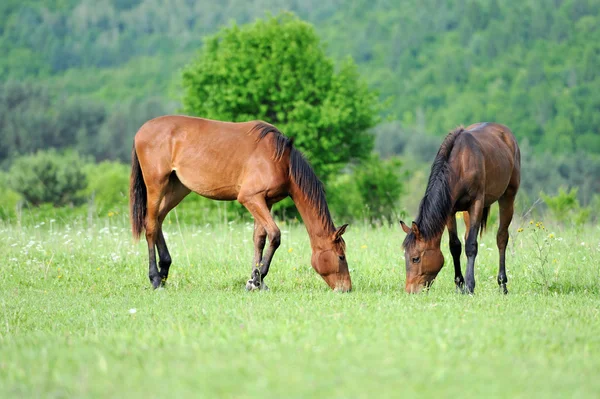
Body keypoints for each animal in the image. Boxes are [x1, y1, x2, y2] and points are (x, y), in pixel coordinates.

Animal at [127, 115, 352, 294]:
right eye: (341, 257)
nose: (346, 288)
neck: (281, 161)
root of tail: (140, 131)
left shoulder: (265, 202)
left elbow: (259, 239)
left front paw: (256, 280)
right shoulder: (250, 198)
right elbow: (275, 235)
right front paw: (257, 279)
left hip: (177, 189)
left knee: (158, 220)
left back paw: (164, 270)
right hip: (156, 185)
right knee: (150, 226)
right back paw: (155, 279)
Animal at [398, 123, 520, 296]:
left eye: (415, 258)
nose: (410, 291)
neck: (461, 164)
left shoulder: (476, 204)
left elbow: (471, 246)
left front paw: (469, 286)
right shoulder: (450, 210)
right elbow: (455, 246)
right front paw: (459, 285)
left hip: (508, 197)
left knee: (501, 238)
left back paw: (502, 285)